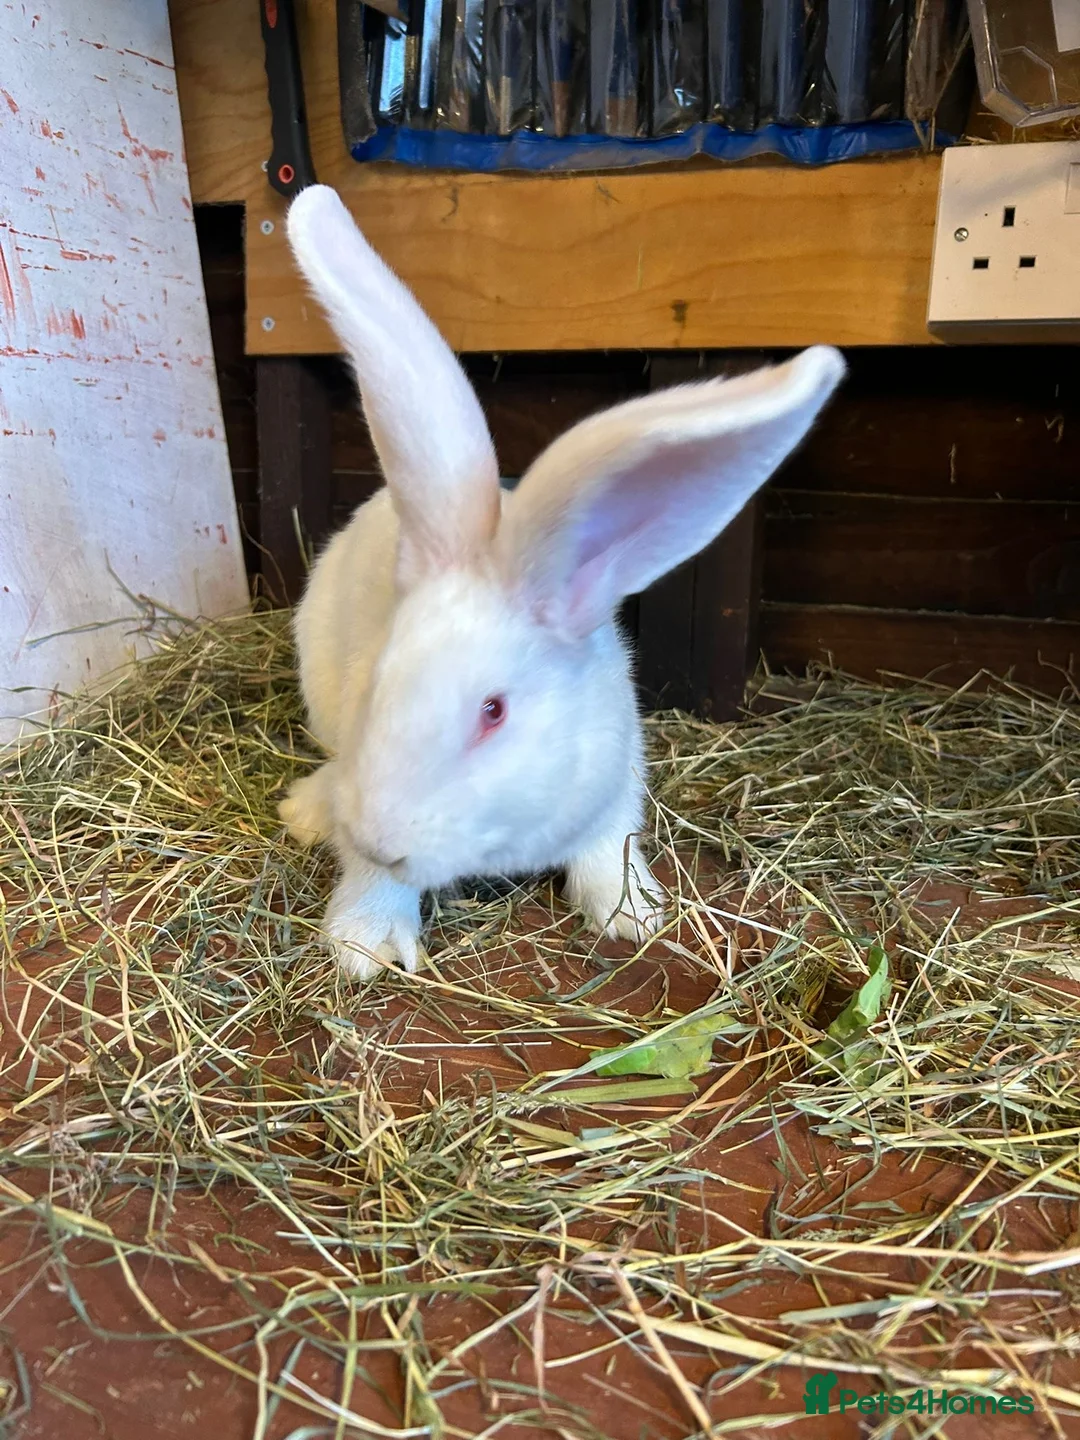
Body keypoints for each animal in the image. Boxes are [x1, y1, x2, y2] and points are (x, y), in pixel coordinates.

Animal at [279, 184, 846, 980]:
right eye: (377, 688)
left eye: (493, 711)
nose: (386, 839)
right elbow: (368, 880)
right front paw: (367, 947)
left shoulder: (613, 792)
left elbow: (608, 857)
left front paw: (634, 917)